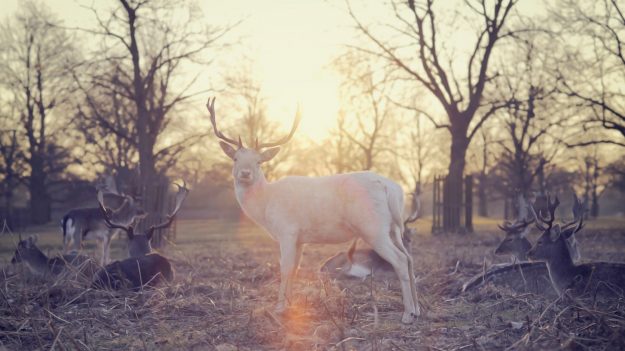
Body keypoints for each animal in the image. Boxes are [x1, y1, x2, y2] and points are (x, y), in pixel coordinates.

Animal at [208, 98, 420, 324]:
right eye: (235, 159)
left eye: (259, 161)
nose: (245, 173)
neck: (266, 205)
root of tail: (391, 188)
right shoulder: (301, 238)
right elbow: (295, 269)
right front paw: (290, 306)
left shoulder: (287, 231)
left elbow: (285, 267)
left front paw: (279, 307)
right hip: (393, 227)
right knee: (409, 258)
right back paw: (417, 310)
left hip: (372, 227)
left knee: (399, 259)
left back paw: (407, 315)